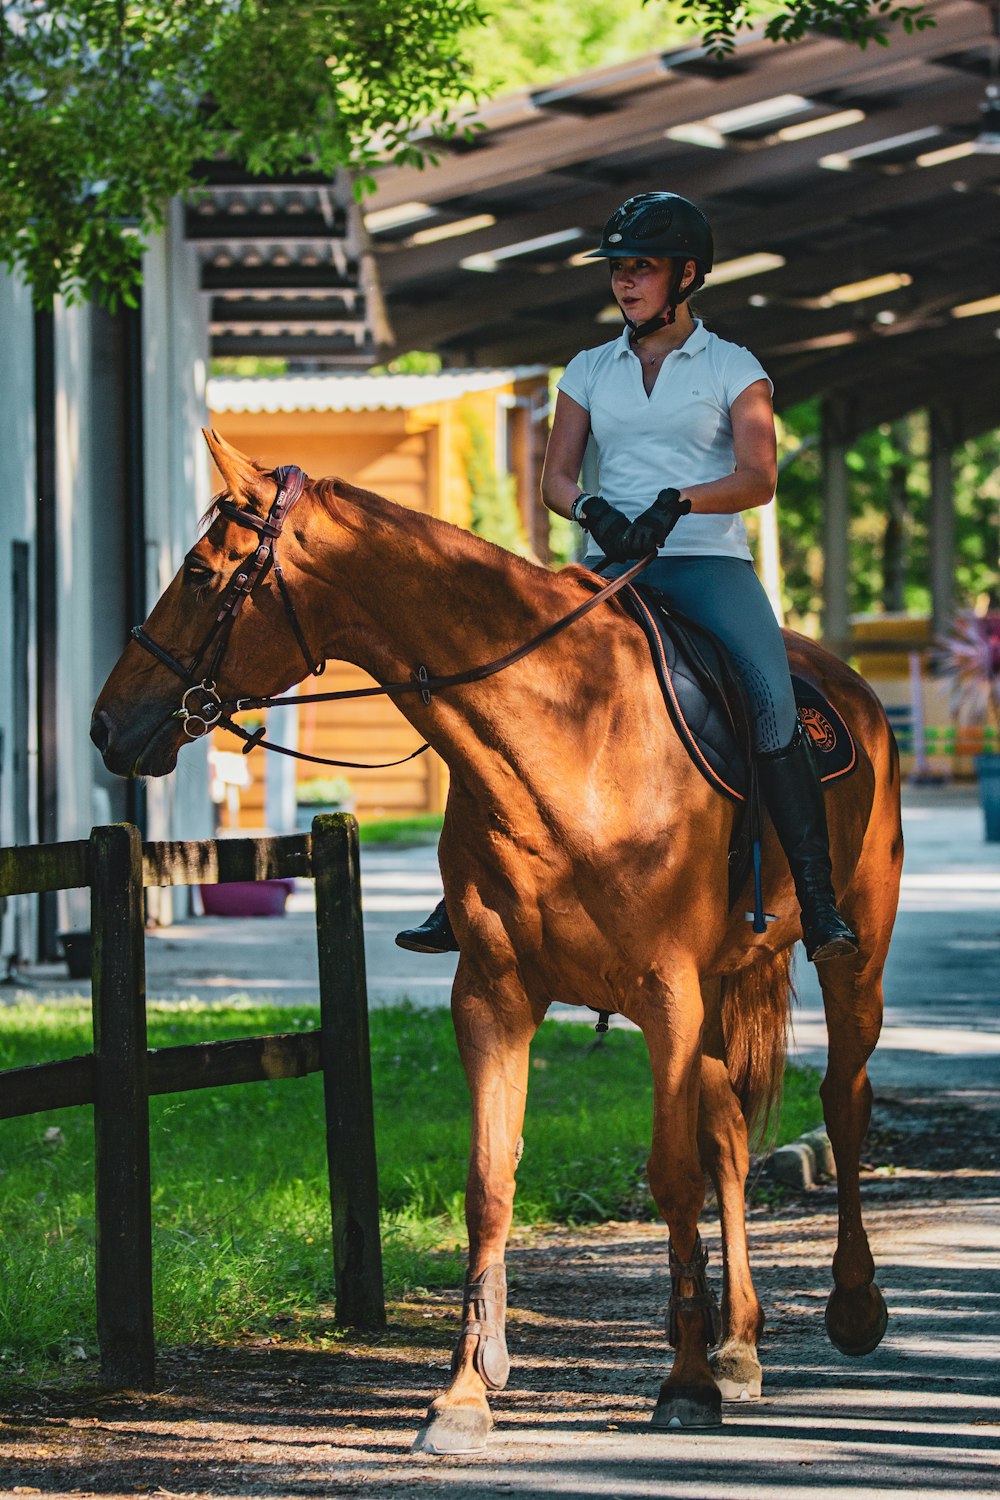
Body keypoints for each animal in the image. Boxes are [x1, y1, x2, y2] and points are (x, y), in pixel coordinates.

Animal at [93, 432, 905, 1452]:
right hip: (721, 991)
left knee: (842, 1099)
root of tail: (849, 687)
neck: (564, 737)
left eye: (202, 575)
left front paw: (680, 1384)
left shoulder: (665, 993)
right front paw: (464, 1392)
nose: (107, 725)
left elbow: (670, 1174)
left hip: (852, 961)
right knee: (727, 1133)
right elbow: (490, 1179)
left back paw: (851, 1309)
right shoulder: (494, 994)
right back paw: (739, 1347)